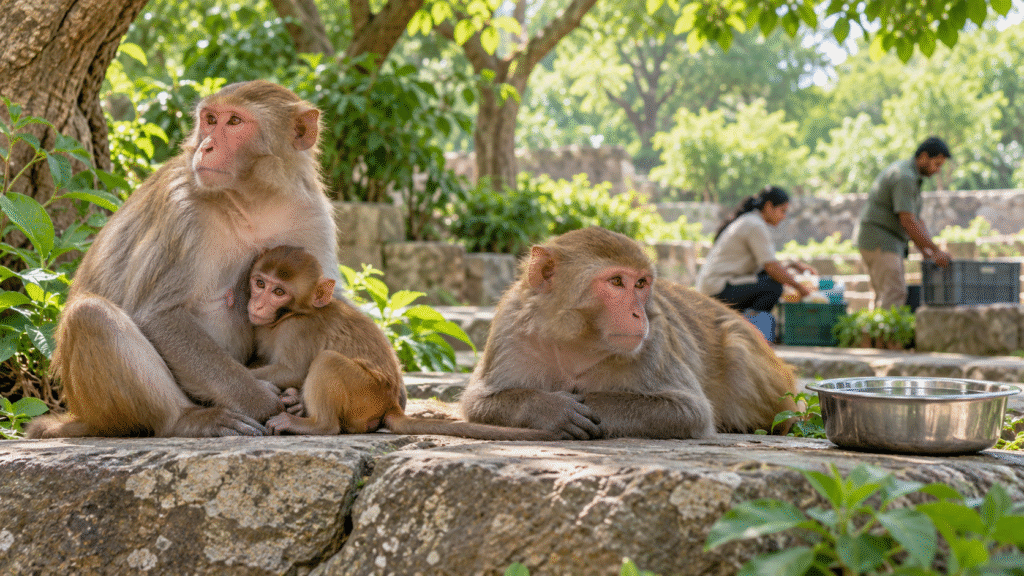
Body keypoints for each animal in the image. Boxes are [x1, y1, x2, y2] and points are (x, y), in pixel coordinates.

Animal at [28, 80, 341, 439]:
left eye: (235, 122)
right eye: (210, 119)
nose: (206, 146)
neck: (253, 201)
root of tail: (79, 412)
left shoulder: (312, 213)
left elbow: (322, 305)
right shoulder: (181, 211)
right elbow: (160, 316)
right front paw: (267, 403)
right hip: (102, 409)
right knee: (90, 315)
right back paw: (188, 418)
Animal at [249, 246, 558, 441]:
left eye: (279, 292)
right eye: (260, 283)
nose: (258, 304)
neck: (293, 313)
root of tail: (389, 404)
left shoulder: (296, 329)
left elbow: (293, 370)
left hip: (366, 392)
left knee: (328, 361)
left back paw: (315, 425)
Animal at [459, 226, 798, 440]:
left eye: (641, 283)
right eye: (617, 282)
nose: (639, 314)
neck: (577, 342)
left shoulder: (654, 342)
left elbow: (690, 411)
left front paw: (593, 403)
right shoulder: (510, 328)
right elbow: (477, 402)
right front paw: (553, 410)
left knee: (738, 350)